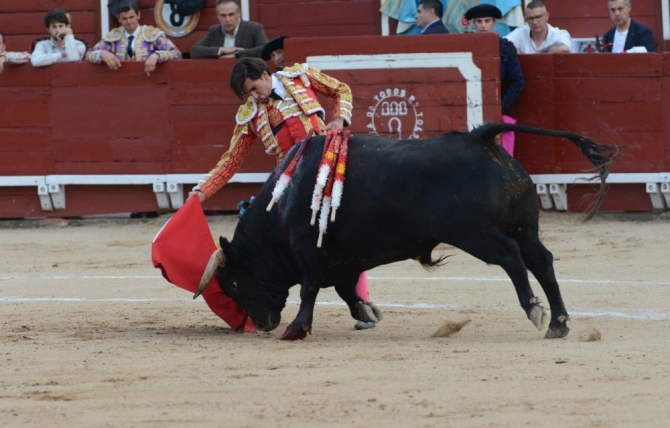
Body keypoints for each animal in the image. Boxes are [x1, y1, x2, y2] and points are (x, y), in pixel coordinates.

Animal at [196, 123, 620, 342]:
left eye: (233, 283)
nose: (263, 323)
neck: (281, 205)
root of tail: (479, 137)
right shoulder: (345, 259)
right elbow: (346, 289)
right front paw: (366, 312)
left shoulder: (308, 250)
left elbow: (309, 288)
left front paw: (296, 329)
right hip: (524, 225)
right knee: (540, 260)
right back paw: (558, 323)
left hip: (476, 234)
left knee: (512, 258)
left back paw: (535, 310)